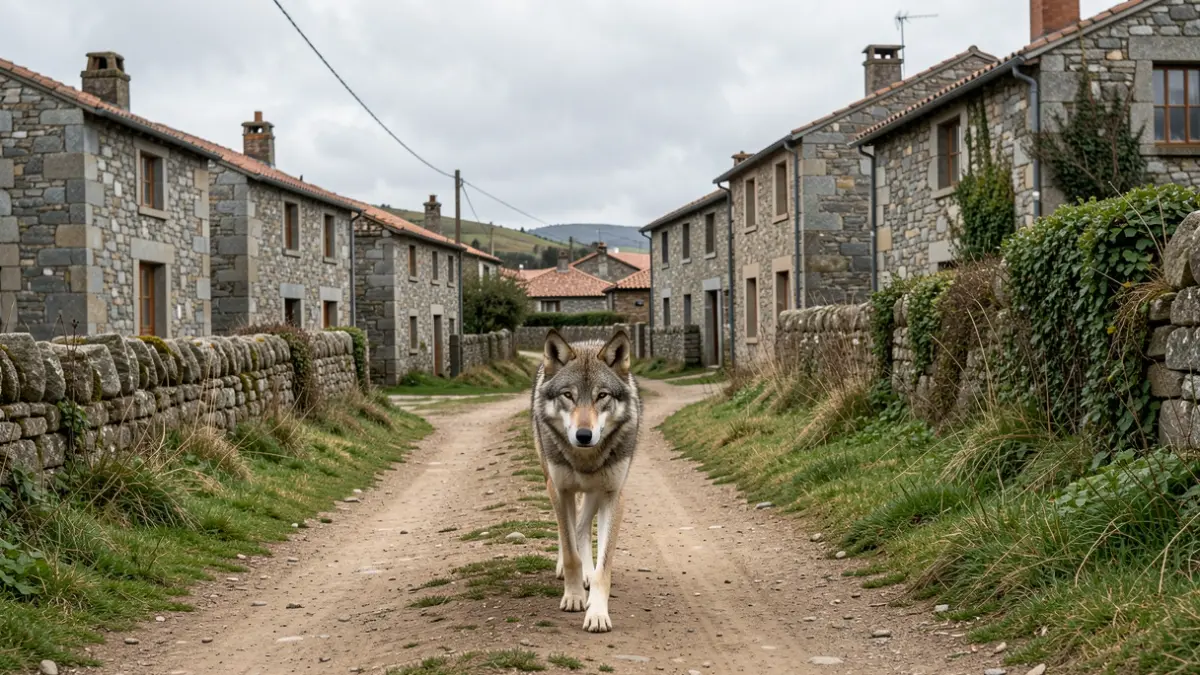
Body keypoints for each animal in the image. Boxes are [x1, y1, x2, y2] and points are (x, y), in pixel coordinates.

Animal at [530, 328, 641, 633]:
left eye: (602, 395)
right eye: (568, 395)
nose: (583, 435)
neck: (585, 458)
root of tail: (587, 342)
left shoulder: (614, 496)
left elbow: (604, 566)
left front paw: (598, 613)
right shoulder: (560, 490)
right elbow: (570, 553)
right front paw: (574, 597)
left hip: (596, 493)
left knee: (581, 526)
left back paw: (588, 576)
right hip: (553, 481)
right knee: (570, 530)